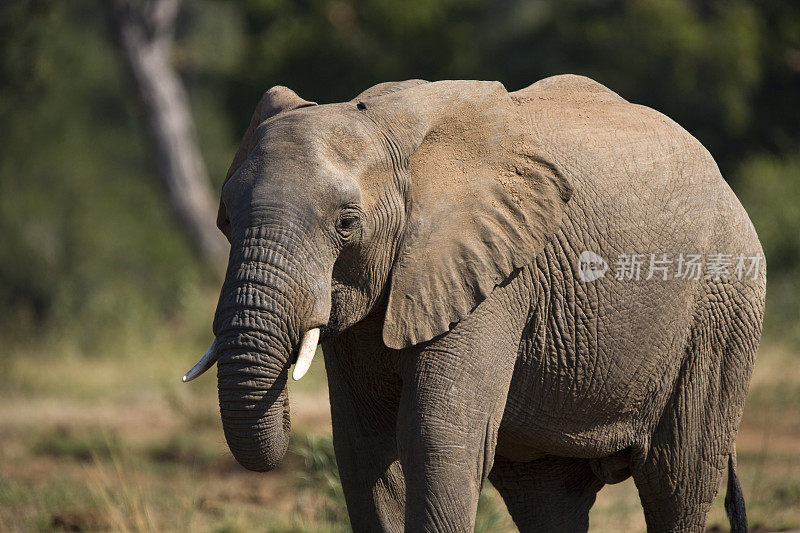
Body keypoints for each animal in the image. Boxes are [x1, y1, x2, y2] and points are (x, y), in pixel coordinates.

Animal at [183, 76, 768, 532]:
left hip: (721, 308)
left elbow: (435, 440)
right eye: (225, 221)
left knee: (678, 479)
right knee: (548, 494)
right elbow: (364, 449)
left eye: (347, 223)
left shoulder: (494, 277)